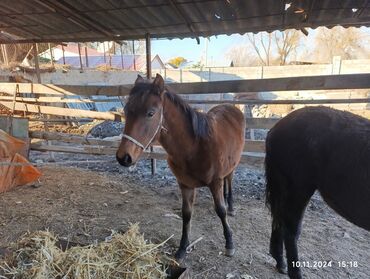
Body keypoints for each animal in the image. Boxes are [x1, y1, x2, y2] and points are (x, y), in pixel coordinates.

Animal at [117, 74, 246, 260]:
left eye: (150, 113)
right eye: (127, 111)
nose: (124, 157)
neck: (195, 147)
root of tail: (230, 106)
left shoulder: (215, 182)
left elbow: (220, 211)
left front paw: (229, 243)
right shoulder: (185, 185)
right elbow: (186, 214)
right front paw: (183, 248)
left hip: (232, 165)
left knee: (229, 179)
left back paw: (231, 206)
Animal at [266, 106, 370, 278]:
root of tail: (276, 128)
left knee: (279, 219)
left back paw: (279, 261)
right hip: (298, 188)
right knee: (291, 229)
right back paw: (294, 272)